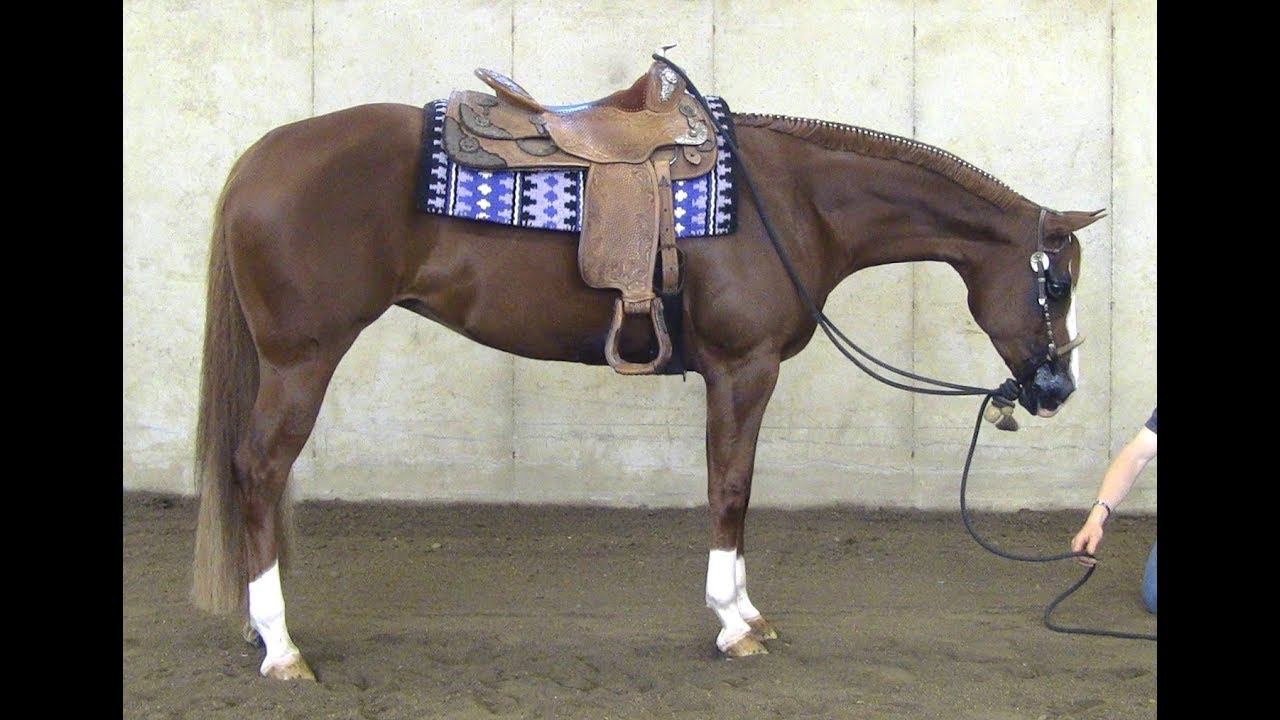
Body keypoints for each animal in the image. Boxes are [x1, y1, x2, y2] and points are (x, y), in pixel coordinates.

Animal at [191, 60, 1103, 681]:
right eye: (1056, 283)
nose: (1058, 390)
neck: (794, 202)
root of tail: (260, 158)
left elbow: (732, 486)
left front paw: (746, 612)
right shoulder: (742, 369)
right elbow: (731, 487)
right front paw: (734, 623)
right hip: (301, 359)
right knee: (259, 469)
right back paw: (281, 646)